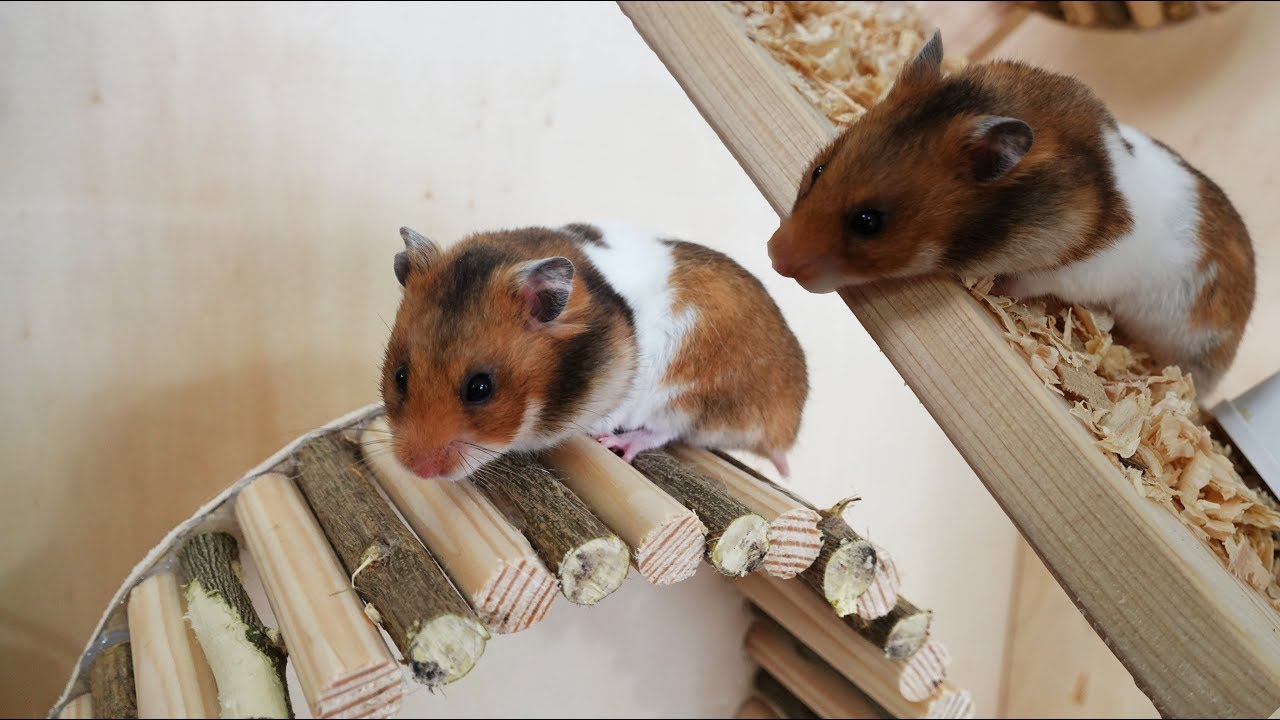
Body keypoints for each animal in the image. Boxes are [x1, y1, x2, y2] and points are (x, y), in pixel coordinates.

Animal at [381, 221, 808, 482]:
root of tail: (785, 426)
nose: (418, 470)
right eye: (400, 377)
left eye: (480, 388)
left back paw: (616, 443)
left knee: (664, 430)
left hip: (687, 392)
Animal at [767, 30, 1255, 395]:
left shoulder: (1072, 273)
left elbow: (1026, 283)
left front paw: (996, 287)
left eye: (869, 222)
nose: (774, 257)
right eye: (818, 170)